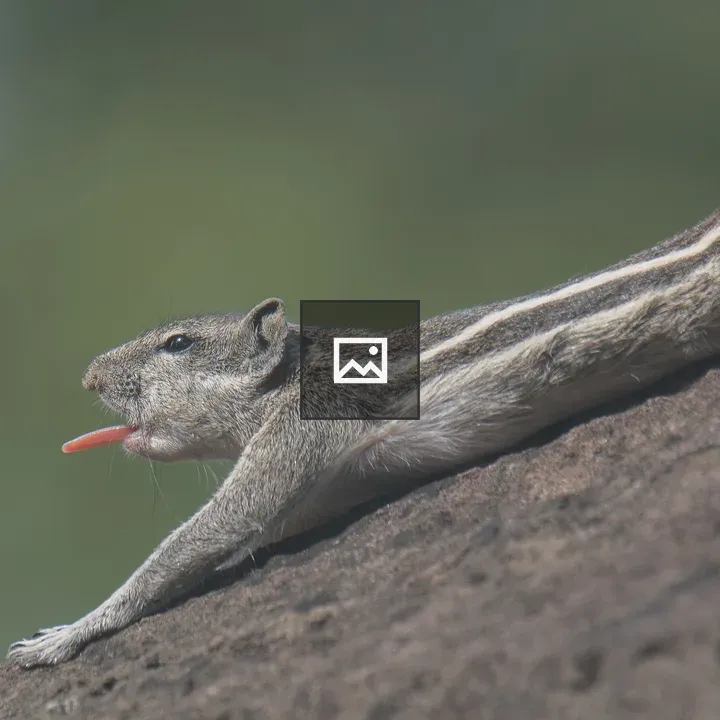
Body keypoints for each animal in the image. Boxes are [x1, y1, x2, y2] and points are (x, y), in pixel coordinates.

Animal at [7, 208, 720, 668]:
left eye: (178, 343)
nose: (88, 376)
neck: (296, 371)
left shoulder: (291, 440)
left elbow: (201, 536)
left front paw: (62, 636)